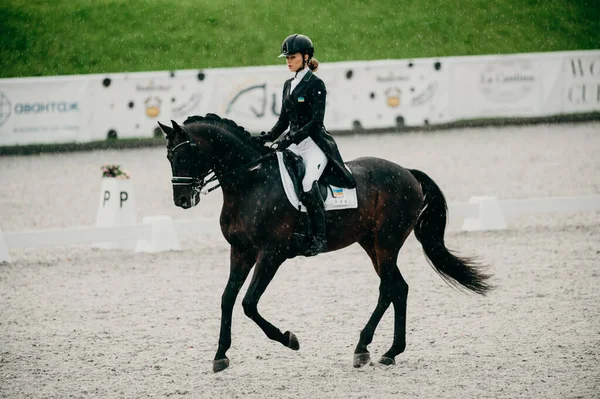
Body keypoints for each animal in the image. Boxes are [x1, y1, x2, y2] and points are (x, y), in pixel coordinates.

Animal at [159, 114, 492, 374]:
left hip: (386, 242)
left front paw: (289, 339)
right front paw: (220, 356)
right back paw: (388, 352)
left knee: (389, 287)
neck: (250, 182)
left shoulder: (271, 254)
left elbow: (249, 303)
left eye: (184, 156)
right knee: (398, 287)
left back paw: (365, 348)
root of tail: (407, 173)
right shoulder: (240, 251)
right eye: (169, 158)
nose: (182, 200)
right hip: (371, 243)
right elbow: (227, 299)